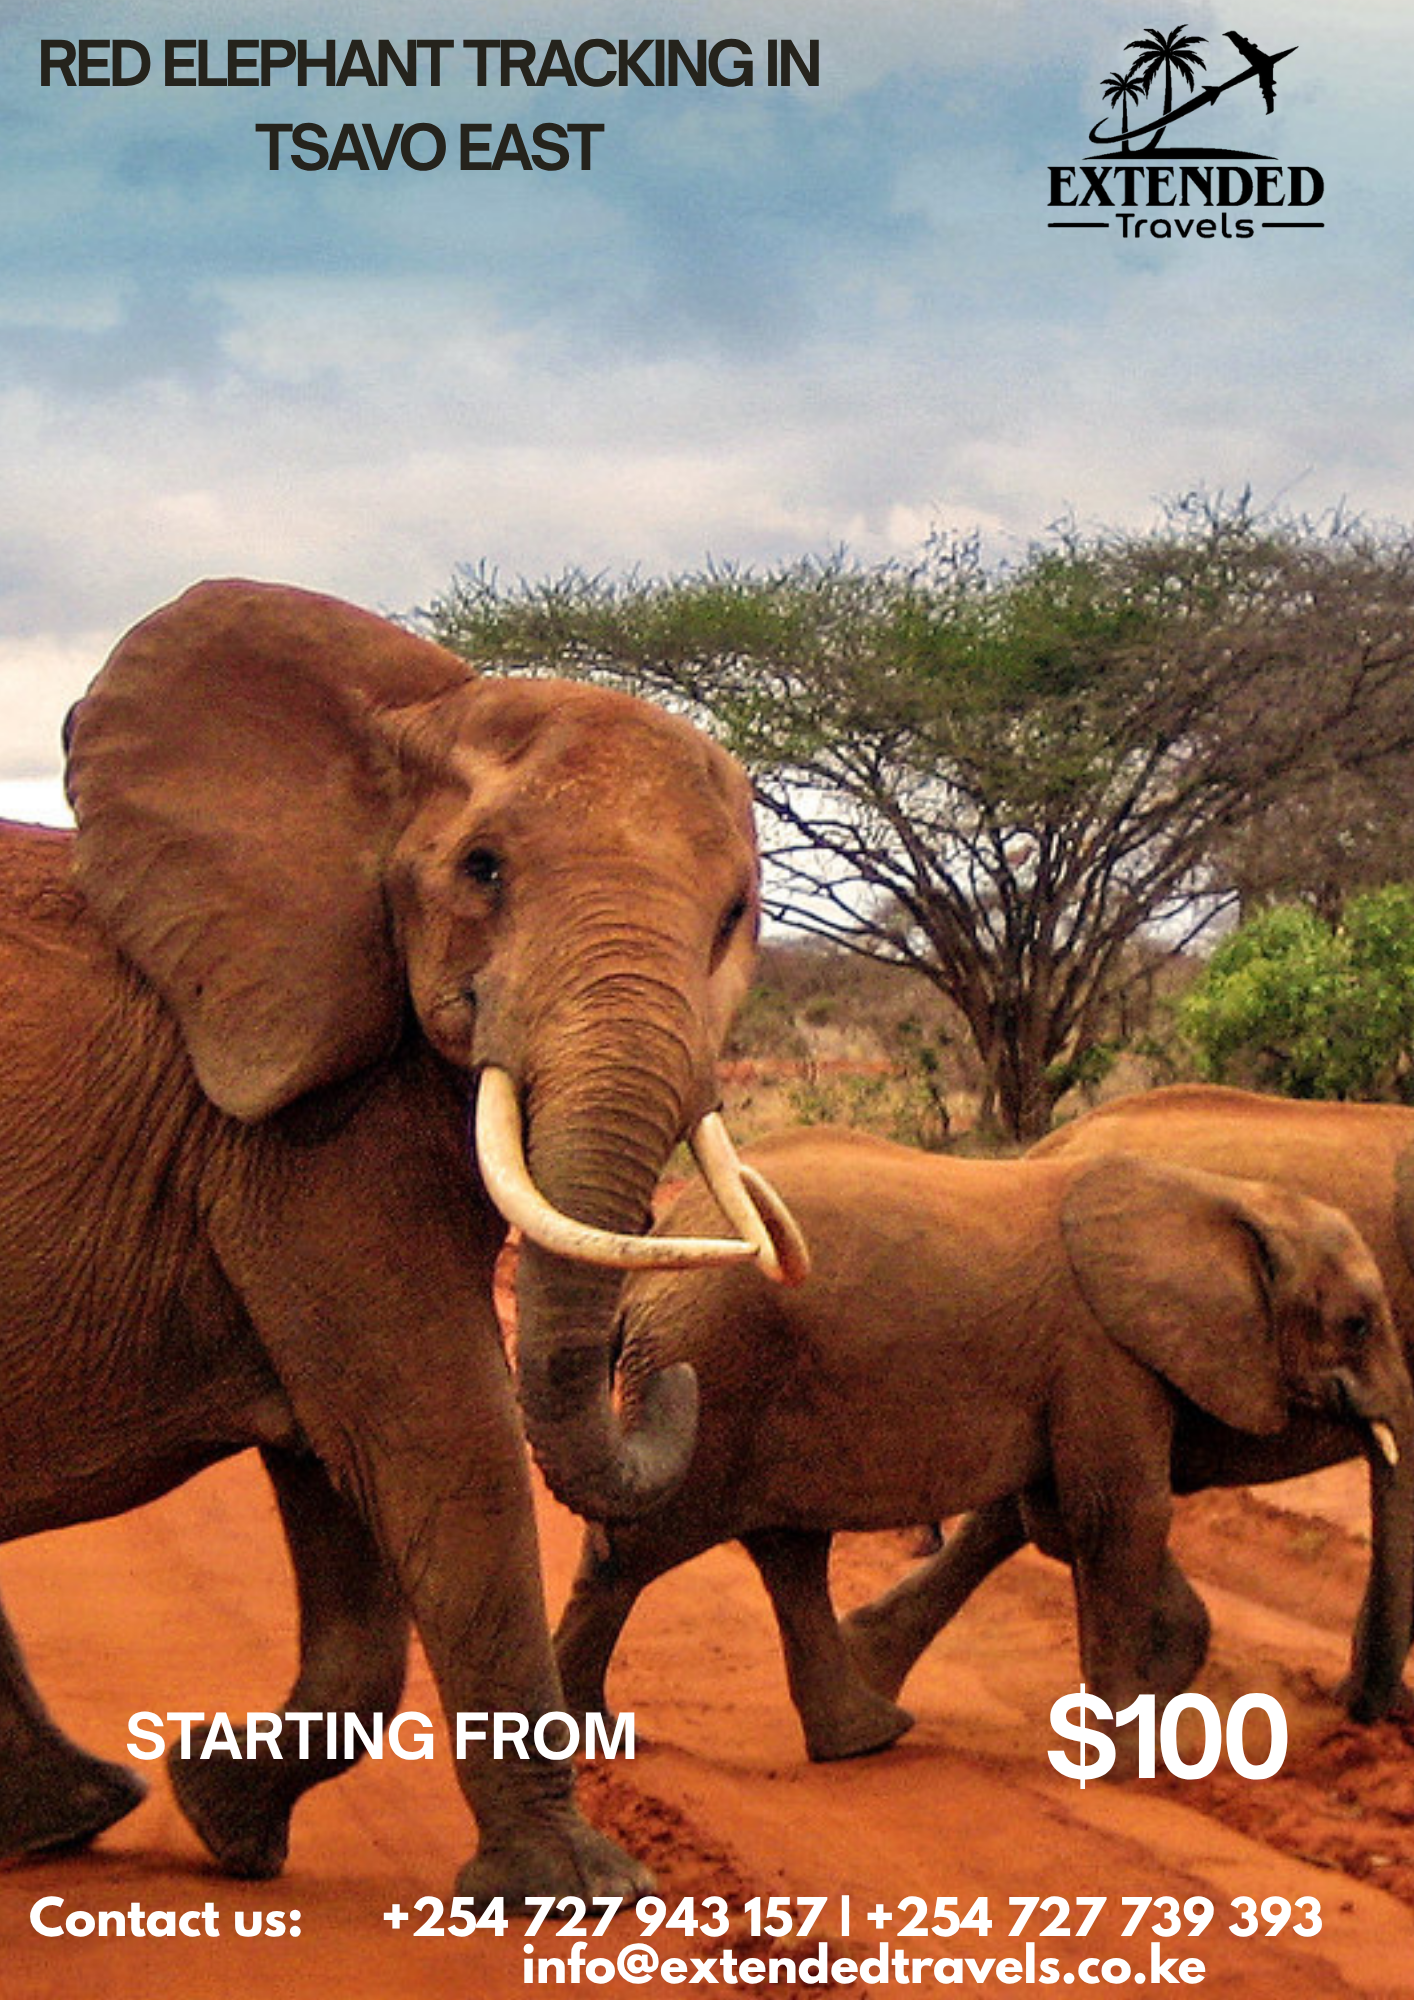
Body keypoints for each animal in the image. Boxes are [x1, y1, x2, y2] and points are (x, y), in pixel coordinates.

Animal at [0, 578, 809, 1909]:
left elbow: (345, 1478)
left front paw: (222, 1813)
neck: (411, 720)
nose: (667, 1377)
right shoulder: (298, 1129)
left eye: (736, 913)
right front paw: (582, 1888)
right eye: (483, 869)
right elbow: (438, 1429)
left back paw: (73, 1814)